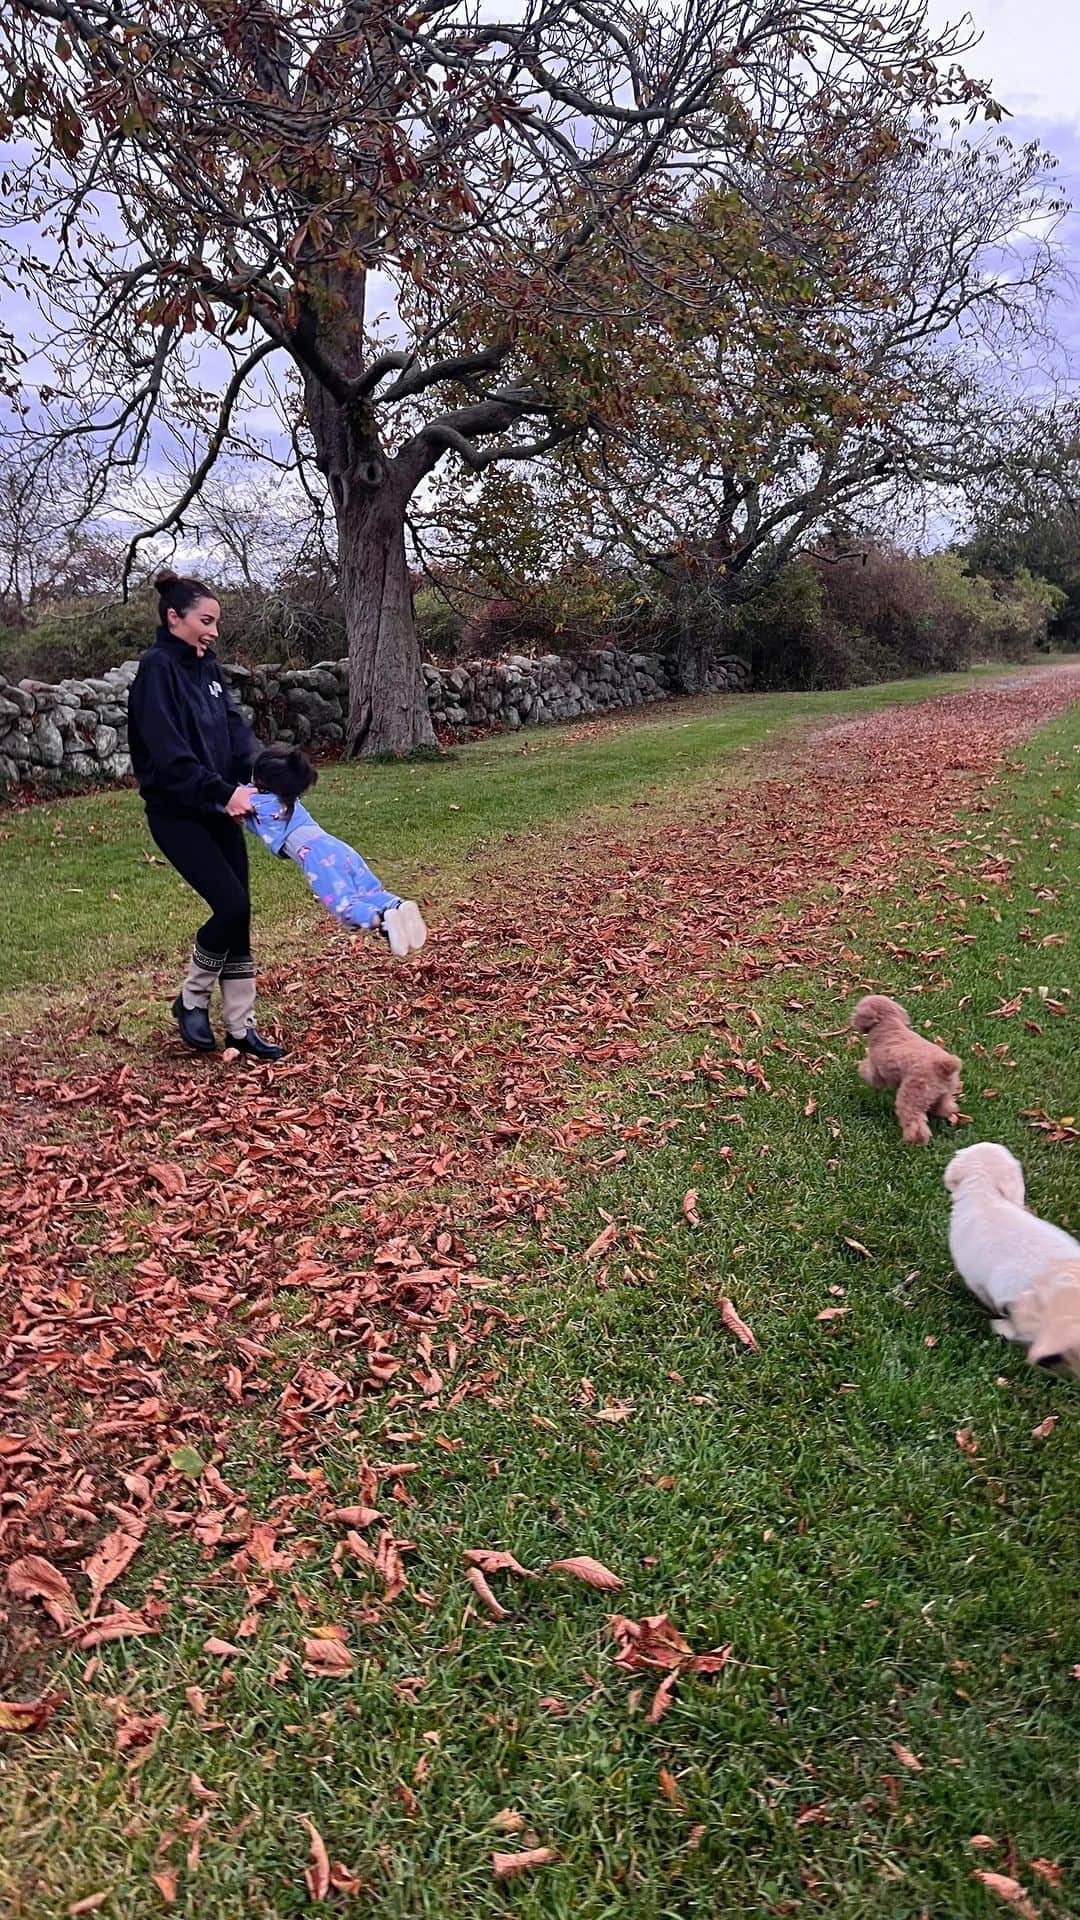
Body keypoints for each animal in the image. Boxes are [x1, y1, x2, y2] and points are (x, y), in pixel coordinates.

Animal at [849, 1006, 957, 1136]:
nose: (852, 1020)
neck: (888, 1022)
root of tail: (943, 1066)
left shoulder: (879, 1069)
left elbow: (869, 1073)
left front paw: (861, 1068)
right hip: (944, 1091)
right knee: (945, 1105)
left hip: (912, 1094)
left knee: (914, 1119)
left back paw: (914, 1137)